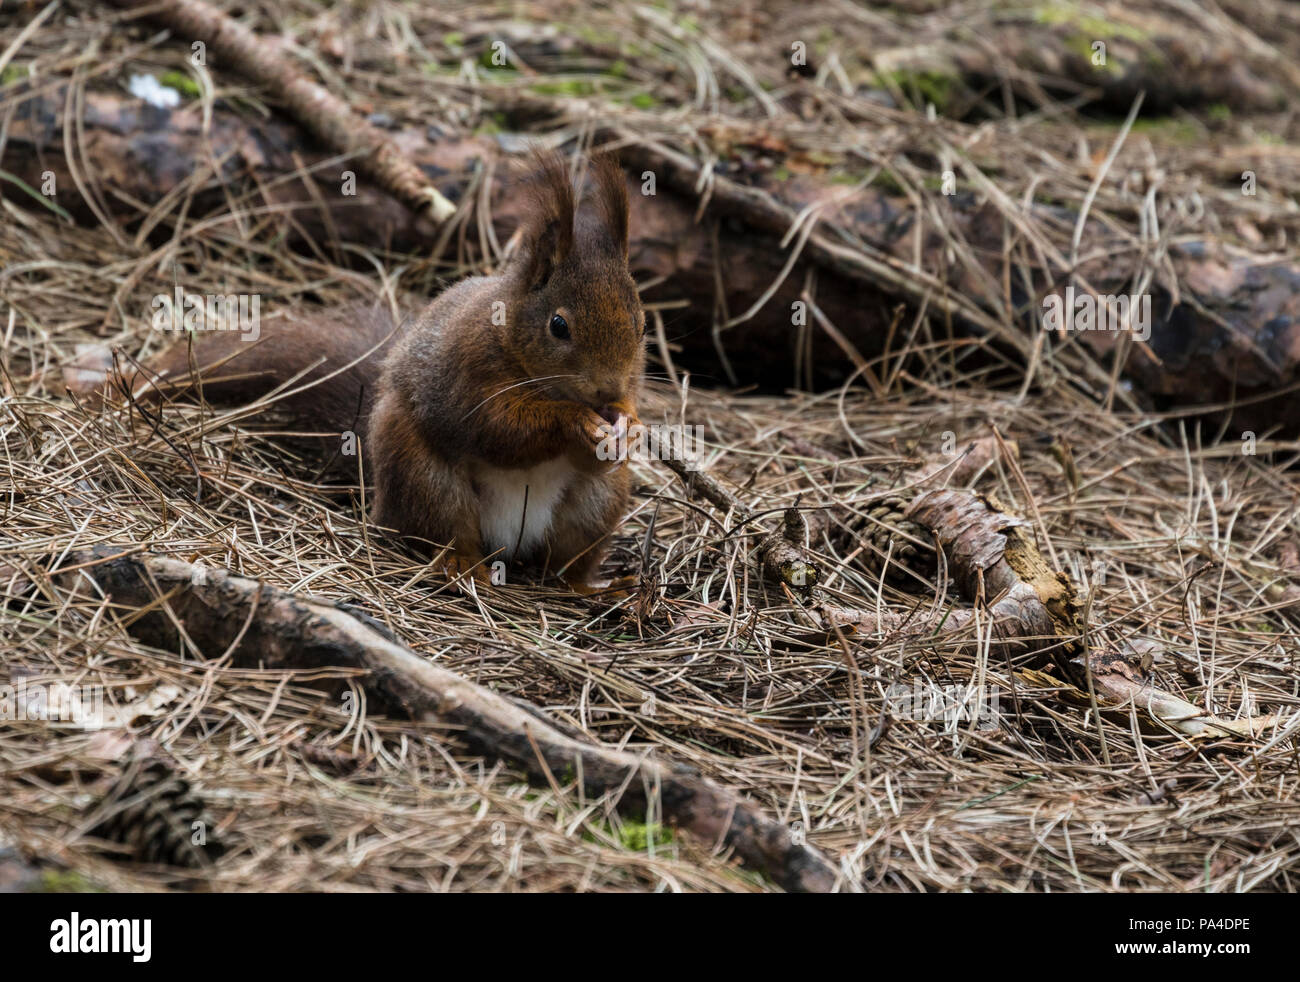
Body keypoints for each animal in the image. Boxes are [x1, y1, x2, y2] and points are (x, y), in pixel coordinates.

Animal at [73, 149, 642, 587]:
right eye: (558, 326)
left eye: (640, 324)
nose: (608, 391)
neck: (509, 339)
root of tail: (508, 545)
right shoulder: (465, 371)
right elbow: (499, 429)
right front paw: (575, 423)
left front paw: (631, 428)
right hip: (423, 478)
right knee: (441, 535)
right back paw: (461, 566)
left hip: (596, 506)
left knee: (562, 564)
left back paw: (594, 588)